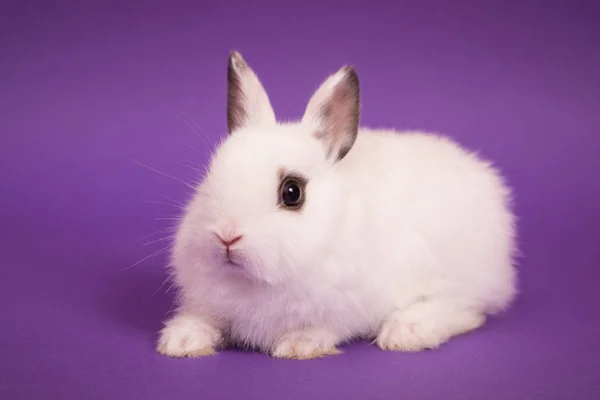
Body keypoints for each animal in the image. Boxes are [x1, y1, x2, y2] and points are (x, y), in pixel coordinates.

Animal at [157, 50, 516, 360]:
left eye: (292, 192)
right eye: (210, 176)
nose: (227, 236)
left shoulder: (346, 305)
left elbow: (326, 327)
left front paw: (298, 345)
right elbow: (204, 321)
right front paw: (181, 341)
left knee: (469, 310)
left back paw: (407, 330)